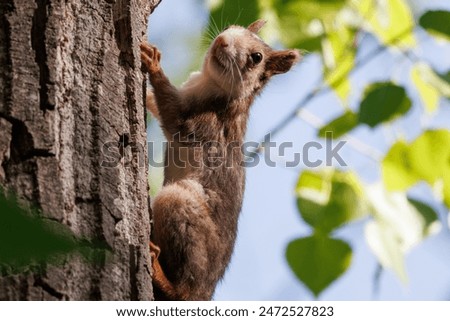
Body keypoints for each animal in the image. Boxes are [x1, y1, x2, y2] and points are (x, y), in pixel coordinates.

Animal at [141, 19, 300, 300]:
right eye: (233, 27)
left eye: (256, 58)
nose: (222, 41)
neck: (209, 83)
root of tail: (203, 292)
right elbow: (156, 104)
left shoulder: (207, 124)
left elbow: (173, 118)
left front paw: (154, 64)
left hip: (181, 205)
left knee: (181, 288)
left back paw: (160, 272)